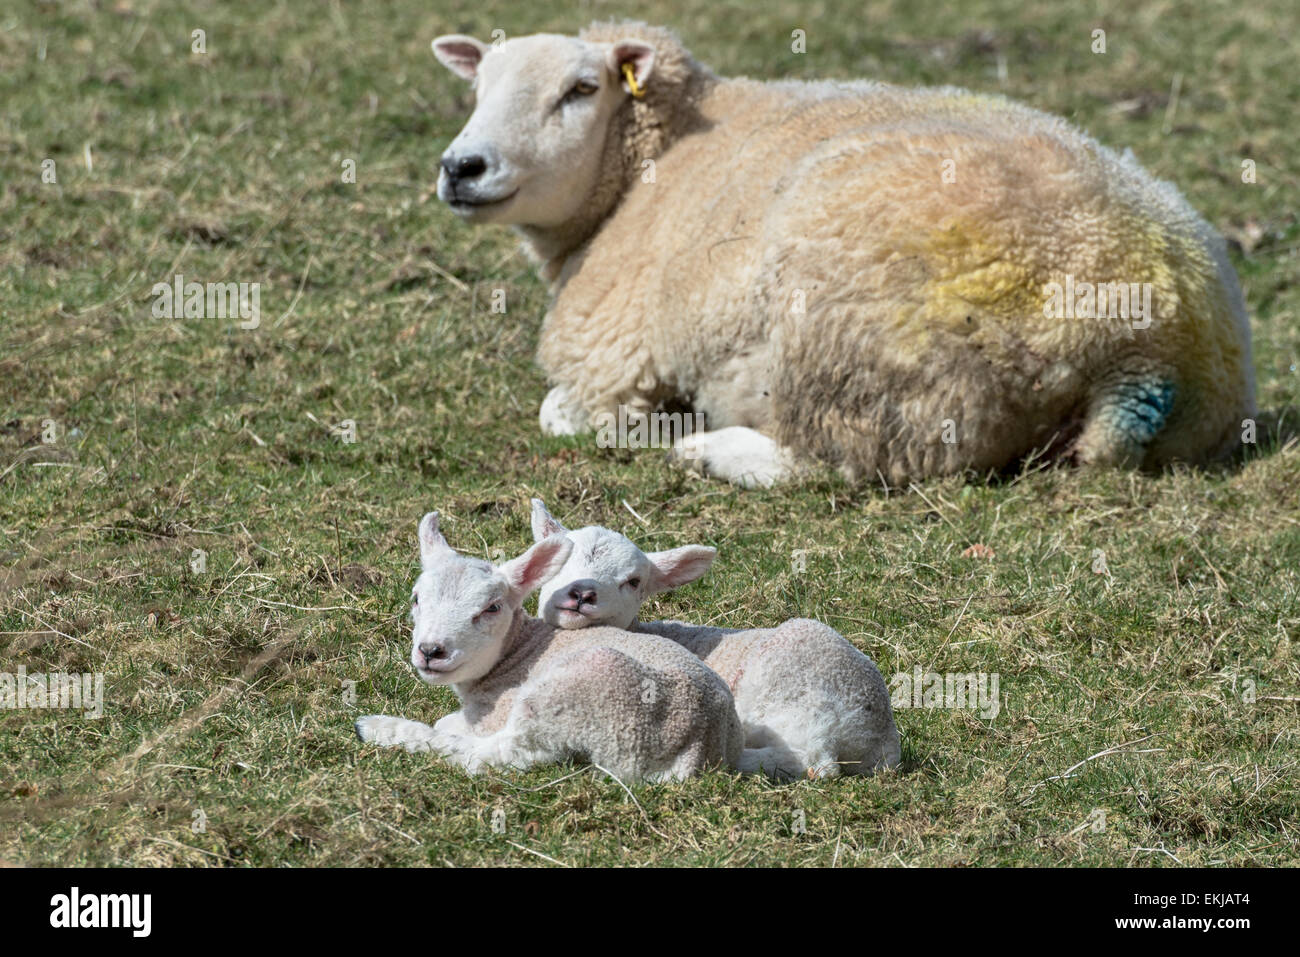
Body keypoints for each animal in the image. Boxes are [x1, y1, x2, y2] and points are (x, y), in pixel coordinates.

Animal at [356, 512, 743, 780]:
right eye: (416, 598)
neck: (517, 650)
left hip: (576, 694)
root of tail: (694, 750)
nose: (431, 651)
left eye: (492, 608)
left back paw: (376, 728)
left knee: (496, 755)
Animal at [431, 20, 1253, 486]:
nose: (460, 166)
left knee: (843, 461)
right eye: (477, 86)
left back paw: (711, 450)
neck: (647, 165)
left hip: (858, 354)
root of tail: (1144, 347)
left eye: (581, 88)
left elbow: (559, 412)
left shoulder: (616, 356)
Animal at [533, 501, 899, 780]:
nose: (582, 594)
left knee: (812, 762)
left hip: (790, 699)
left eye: (634, 581)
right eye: (560, 561)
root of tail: (876, 731)